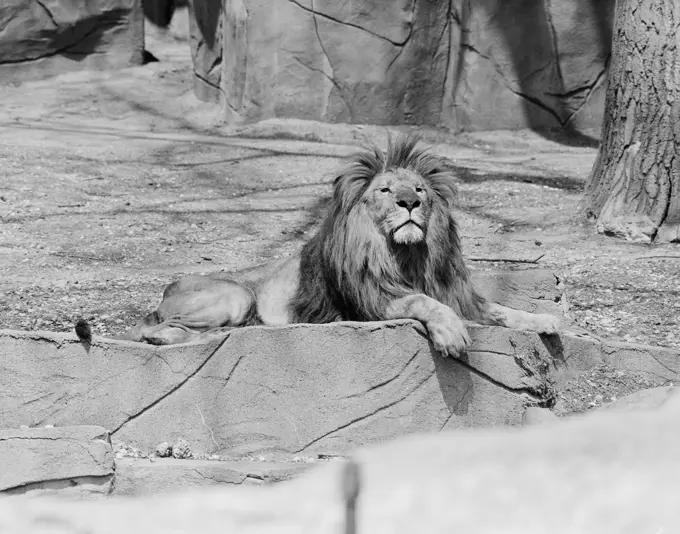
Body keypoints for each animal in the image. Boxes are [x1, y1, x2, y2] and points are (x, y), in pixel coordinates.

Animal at [85, 136, 560, 358]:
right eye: (386, 190)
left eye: (421, 190)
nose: (409, 203)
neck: (407, 254)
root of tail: (166, 291)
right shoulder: (374, 303)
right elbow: (425, 304)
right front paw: (452, 334)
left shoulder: (458, 293)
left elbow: (502, 310)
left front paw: (546, 320)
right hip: (236, 294)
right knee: (154, 330)